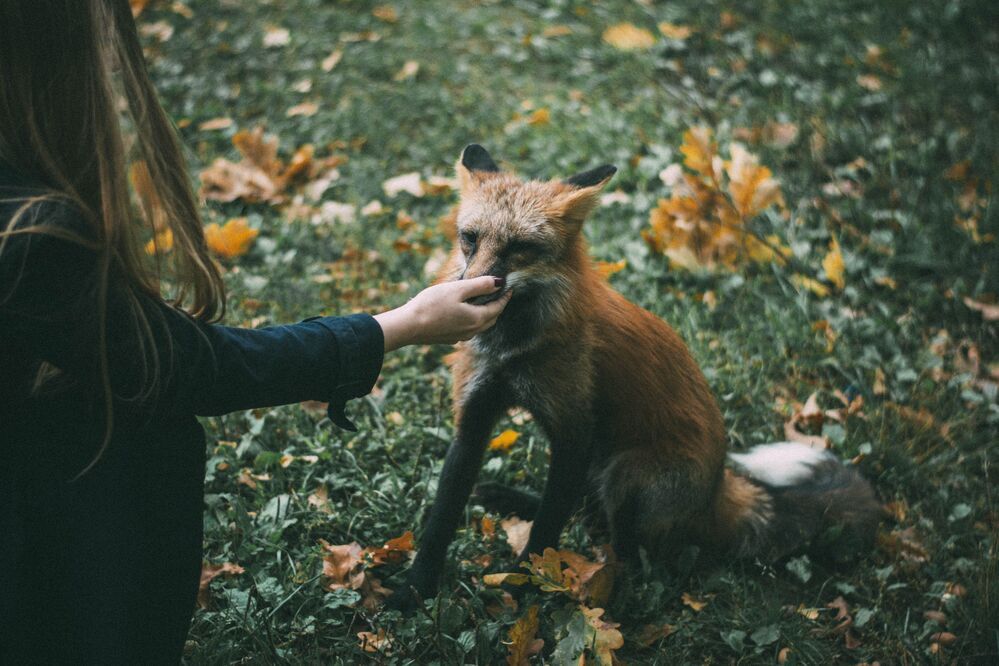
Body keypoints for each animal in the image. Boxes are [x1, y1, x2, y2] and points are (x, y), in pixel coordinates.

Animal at [386, 144, 881, 609]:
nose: (470, 293)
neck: (513, 350)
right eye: (469, 239)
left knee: (625, 550)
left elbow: (546, 530)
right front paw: (414, 589)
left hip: (625, 474)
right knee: (584, 512)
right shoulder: (475, 416)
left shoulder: (574, 430)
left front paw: (525, 585)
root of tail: (718, 488)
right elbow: (443, 516)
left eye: (519, 248)